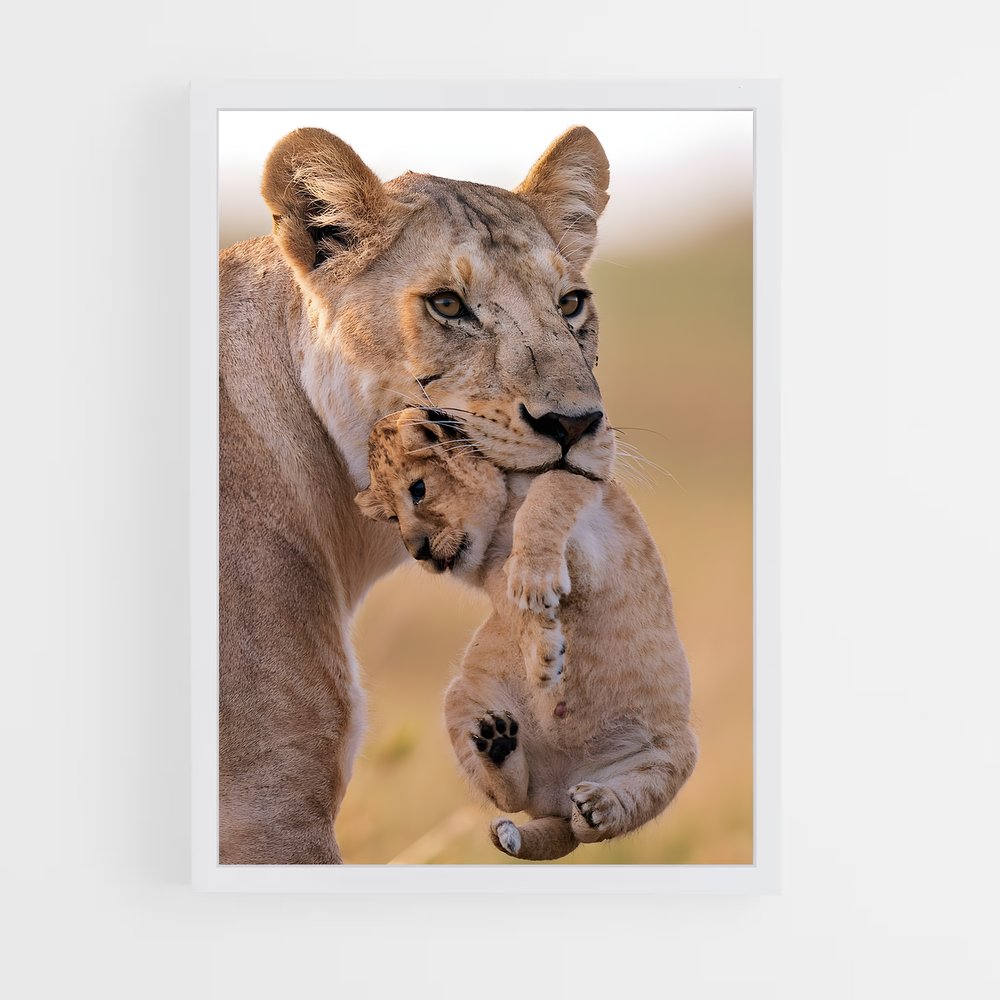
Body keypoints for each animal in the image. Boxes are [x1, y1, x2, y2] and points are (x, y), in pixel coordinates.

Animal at [356, 408, 697, 861]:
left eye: (418, 490)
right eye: (392, 518)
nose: (418, 552)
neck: (498, 527)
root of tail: (556, 797)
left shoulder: (585, 497)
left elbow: (547, 497)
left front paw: (535, 584)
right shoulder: (494, 579)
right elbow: (515, 608)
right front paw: (544, 654)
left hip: (673, 756)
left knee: (603, 820)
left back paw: (598, 807)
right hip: (459, 698)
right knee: (513, 798)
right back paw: (498, 745)